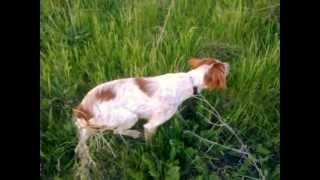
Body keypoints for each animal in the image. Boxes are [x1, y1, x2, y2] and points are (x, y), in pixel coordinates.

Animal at [74, 57, 229, 155]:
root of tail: (82, 109)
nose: (229, 64)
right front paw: (152, 151)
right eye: (223, 67)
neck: (190, 81)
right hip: (130, 117)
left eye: (219, 62)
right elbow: (150, 140)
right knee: (117, 131)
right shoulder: (151, 125)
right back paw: (134, 133)